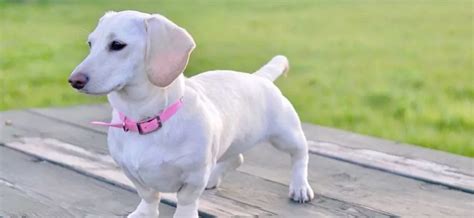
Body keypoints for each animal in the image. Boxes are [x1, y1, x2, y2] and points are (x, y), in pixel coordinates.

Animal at [68, 10, 312, 218]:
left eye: (117, 45)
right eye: (90, 43)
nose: (74, 81)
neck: (145, 119)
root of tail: (259, 77)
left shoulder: (193, 176)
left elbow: (186, 200)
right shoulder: (132, 173)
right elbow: (148, 196)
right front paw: (143, 213)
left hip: (286, 135)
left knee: (300, 155)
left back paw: (300, 187)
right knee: (236, 158)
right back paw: (214, 178)